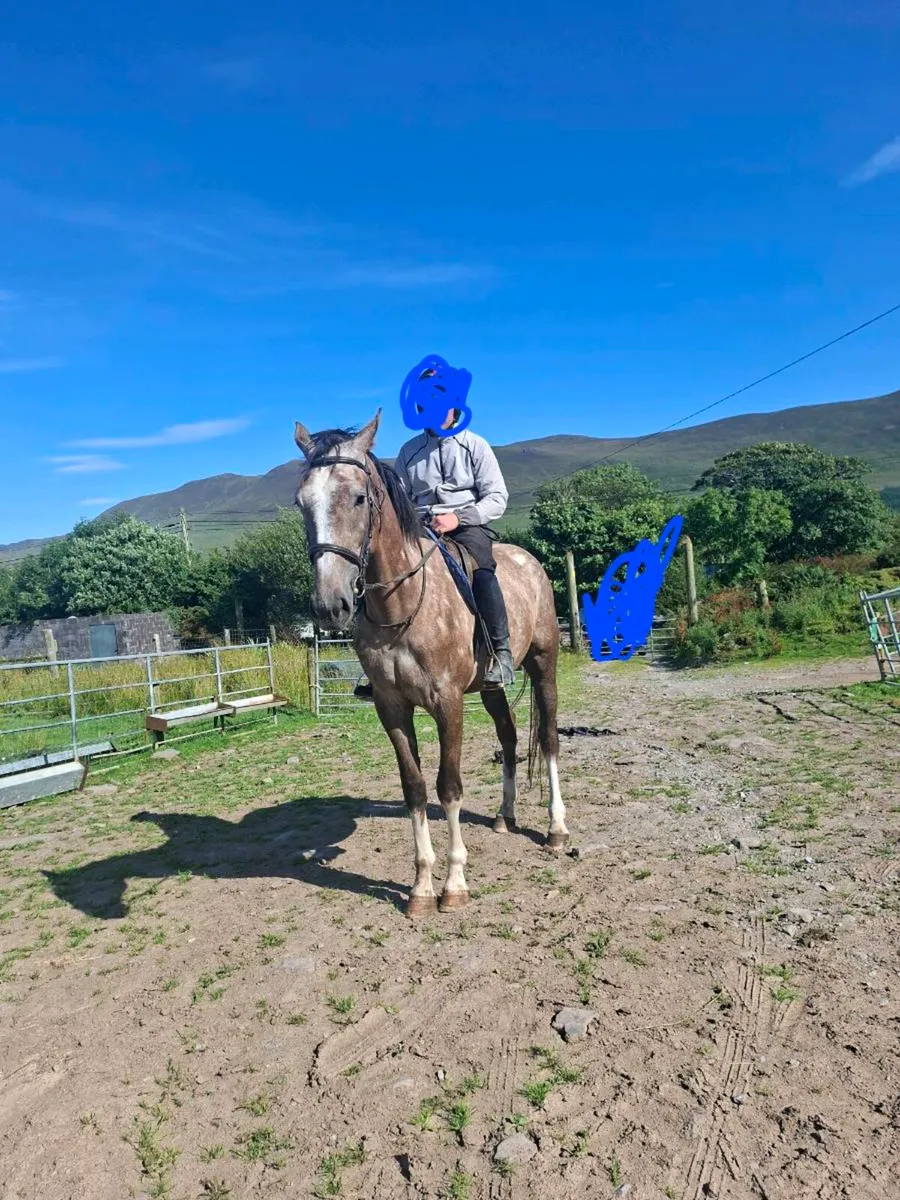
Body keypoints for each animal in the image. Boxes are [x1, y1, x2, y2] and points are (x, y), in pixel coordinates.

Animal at [292, 411, 568, 917]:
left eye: (358, 497)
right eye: (302, 502)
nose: (329, 606)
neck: (400, 605)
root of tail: (530, 561)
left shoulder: (448, 704)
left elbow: (449, 787)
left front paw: (454, 883)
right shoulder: (392, 709)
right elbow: (416, 790)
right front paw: (421, 886)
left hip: (544, 666)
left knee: (550, 739)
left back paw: (556, 829)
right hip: (491, 686)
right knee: (509, 737)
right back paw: (505, 816)